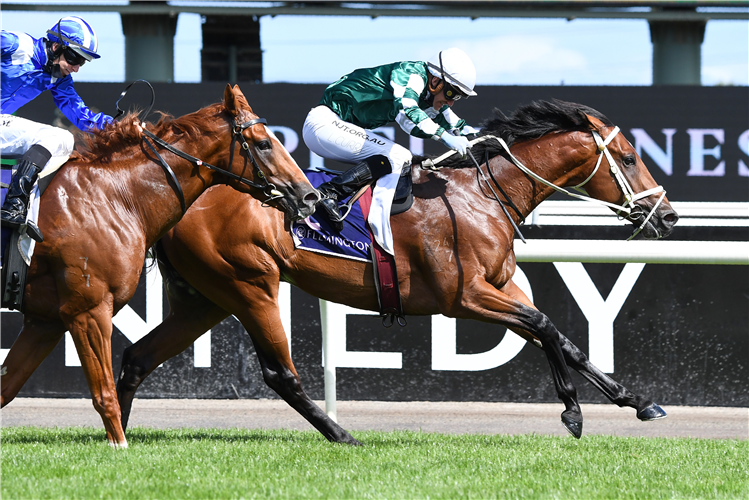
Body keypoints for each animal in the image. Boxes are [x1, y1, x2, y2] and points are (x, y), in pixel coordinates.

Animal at [0, 84, 318, 448]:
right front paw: (119, 445)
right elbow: (104, 394)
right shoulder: (88, 311)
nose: (310, 196)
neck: (111, 199)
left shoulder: (46, 321)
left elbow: (5, 388)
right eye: (264, 143)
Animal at [115, 99, 676, 444]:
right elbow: (544, 327)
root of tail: (181, 200)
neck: (481, 195)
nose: (668, 216)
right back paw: (341, 434)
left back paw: (115, 431)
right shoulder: (464, 296)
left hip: (206, 298)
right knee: (279, 373)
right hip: (249, 284)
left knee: (138, 356)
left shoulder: (500, 285)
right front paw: (572, 412)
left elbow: (561, 338)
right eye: (629, 157)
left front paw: (638, 401)